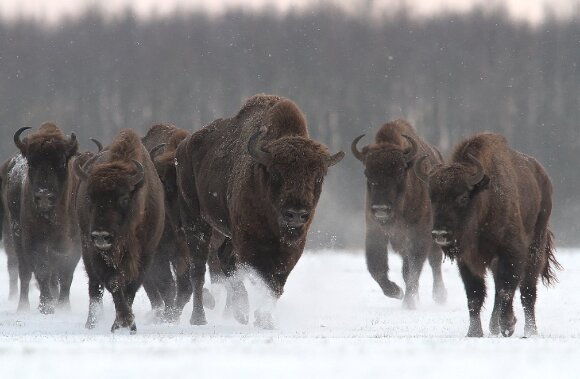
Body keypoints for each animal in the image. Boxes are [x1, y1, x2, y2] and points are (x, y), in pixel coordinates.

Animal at [0, 123, 81, 314]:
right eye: (31, 162)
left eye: (61, 162)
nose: (44, 196)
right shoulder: (34, 241)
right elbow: (42, 270)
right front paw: (46, 306)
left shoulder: (75, 244)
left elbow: (66, 273)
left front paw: (64, 306)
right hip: (16, 236)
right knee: (24, 271)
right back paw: (22, 307)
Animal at [75, 130, 164, 332]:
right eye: (90, 197)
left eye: (123, 198)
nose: (101, 236)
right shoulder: (96, 253)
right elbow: (114, 283)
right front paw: (123, 321)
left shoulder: (145, 254)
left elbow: (131, 286)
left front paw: (127, 324)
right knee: (95, 288)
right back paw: (91, 323)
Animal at [174, 93, 342, 328]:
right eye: (276, 174)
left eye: (318, 177)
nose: (296, 214)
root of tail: (184, 146)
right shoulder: (249, 241)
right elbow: (261, 276)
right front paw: (254, 315)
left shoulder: (292, 247)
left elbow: (276, 282)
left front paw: (264, 319)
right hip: (195, 220)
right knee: (198, 268)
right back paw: (200, 318)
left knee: (223, 260)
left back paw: (238, 314)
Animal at [352, 120, 446, 310]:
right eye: (367, 173)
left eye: (400, 171)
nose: (381, 208)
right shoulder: (375, 232)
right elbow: (376, 267)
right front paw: (397, 292)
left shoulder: (419, 235)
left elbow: (413, 269)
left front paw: (408, 303)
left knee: (435, 261)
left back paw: (440, 296)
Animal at [414, 134, 560, 338]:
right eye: (432, 197)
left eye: (463, 197)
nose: (440, 233)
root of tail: (543, 177)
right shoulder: (467, 260)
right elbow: (475, 294)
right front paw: (474, 332)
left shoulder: (510, 253)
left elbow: (506, 289)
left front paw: (508, 326)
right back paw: (494, 326)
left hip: (535, 248)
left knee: (527, 291)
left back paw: (530, 330)